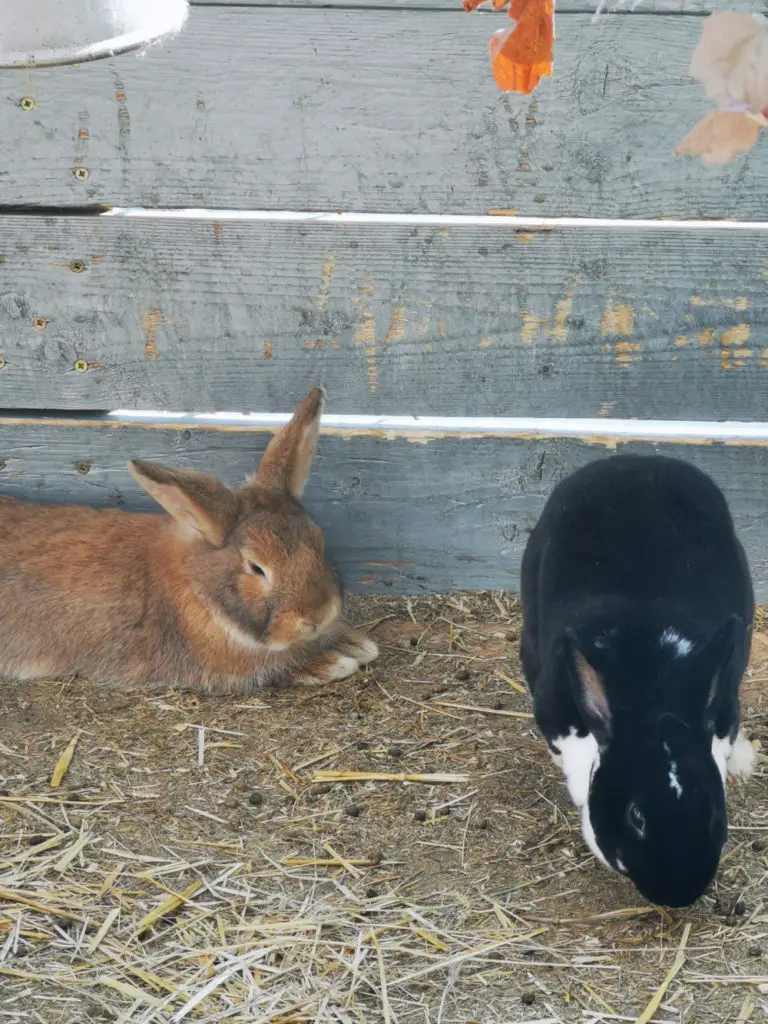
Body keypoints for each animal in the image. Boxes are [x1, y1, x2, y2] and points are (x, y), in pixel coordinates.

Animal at [0, 387, 378, 692]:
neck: (198, 590)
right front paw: (336, 662)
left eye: (318, 540)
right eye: (256, 568)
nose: (317, 616)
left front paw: (357, 643)